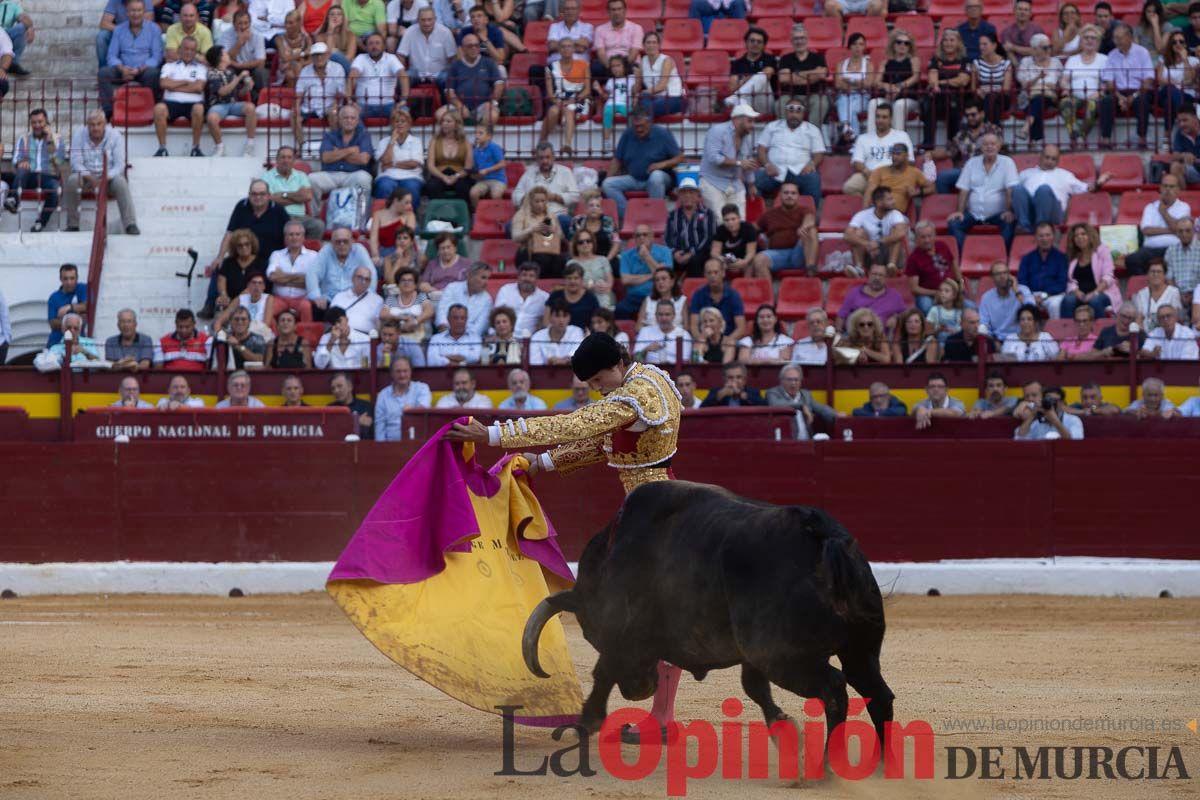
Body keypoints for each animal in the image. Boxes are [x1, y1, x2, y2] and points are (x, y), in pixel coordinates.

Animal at [520, 482, 897, 753]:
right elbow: (755, 687)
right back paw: (880, 767)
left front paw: (584, 723)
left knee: (835, 690)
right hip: (859, 650)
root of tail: (824, 537)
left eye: (591, 634)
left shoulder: (622, 632)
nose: (638, 690)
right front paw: (783, 728)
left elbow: (603, 672)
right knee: (877, 694)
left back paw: (828, 770)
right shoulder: (749, 655)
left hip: (786, 657)